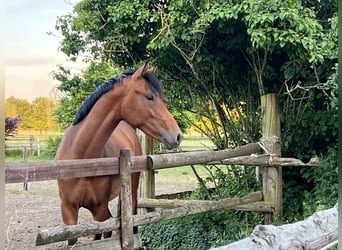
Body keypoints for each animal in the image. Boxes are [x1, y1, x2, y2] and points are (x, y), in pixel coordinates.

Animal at [55, 61, 182, 245]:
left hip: (131, 193)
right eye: (149, 97)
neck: (81, 160)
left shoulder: (100, 209)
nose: (178, 135)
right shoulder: (68, 211)